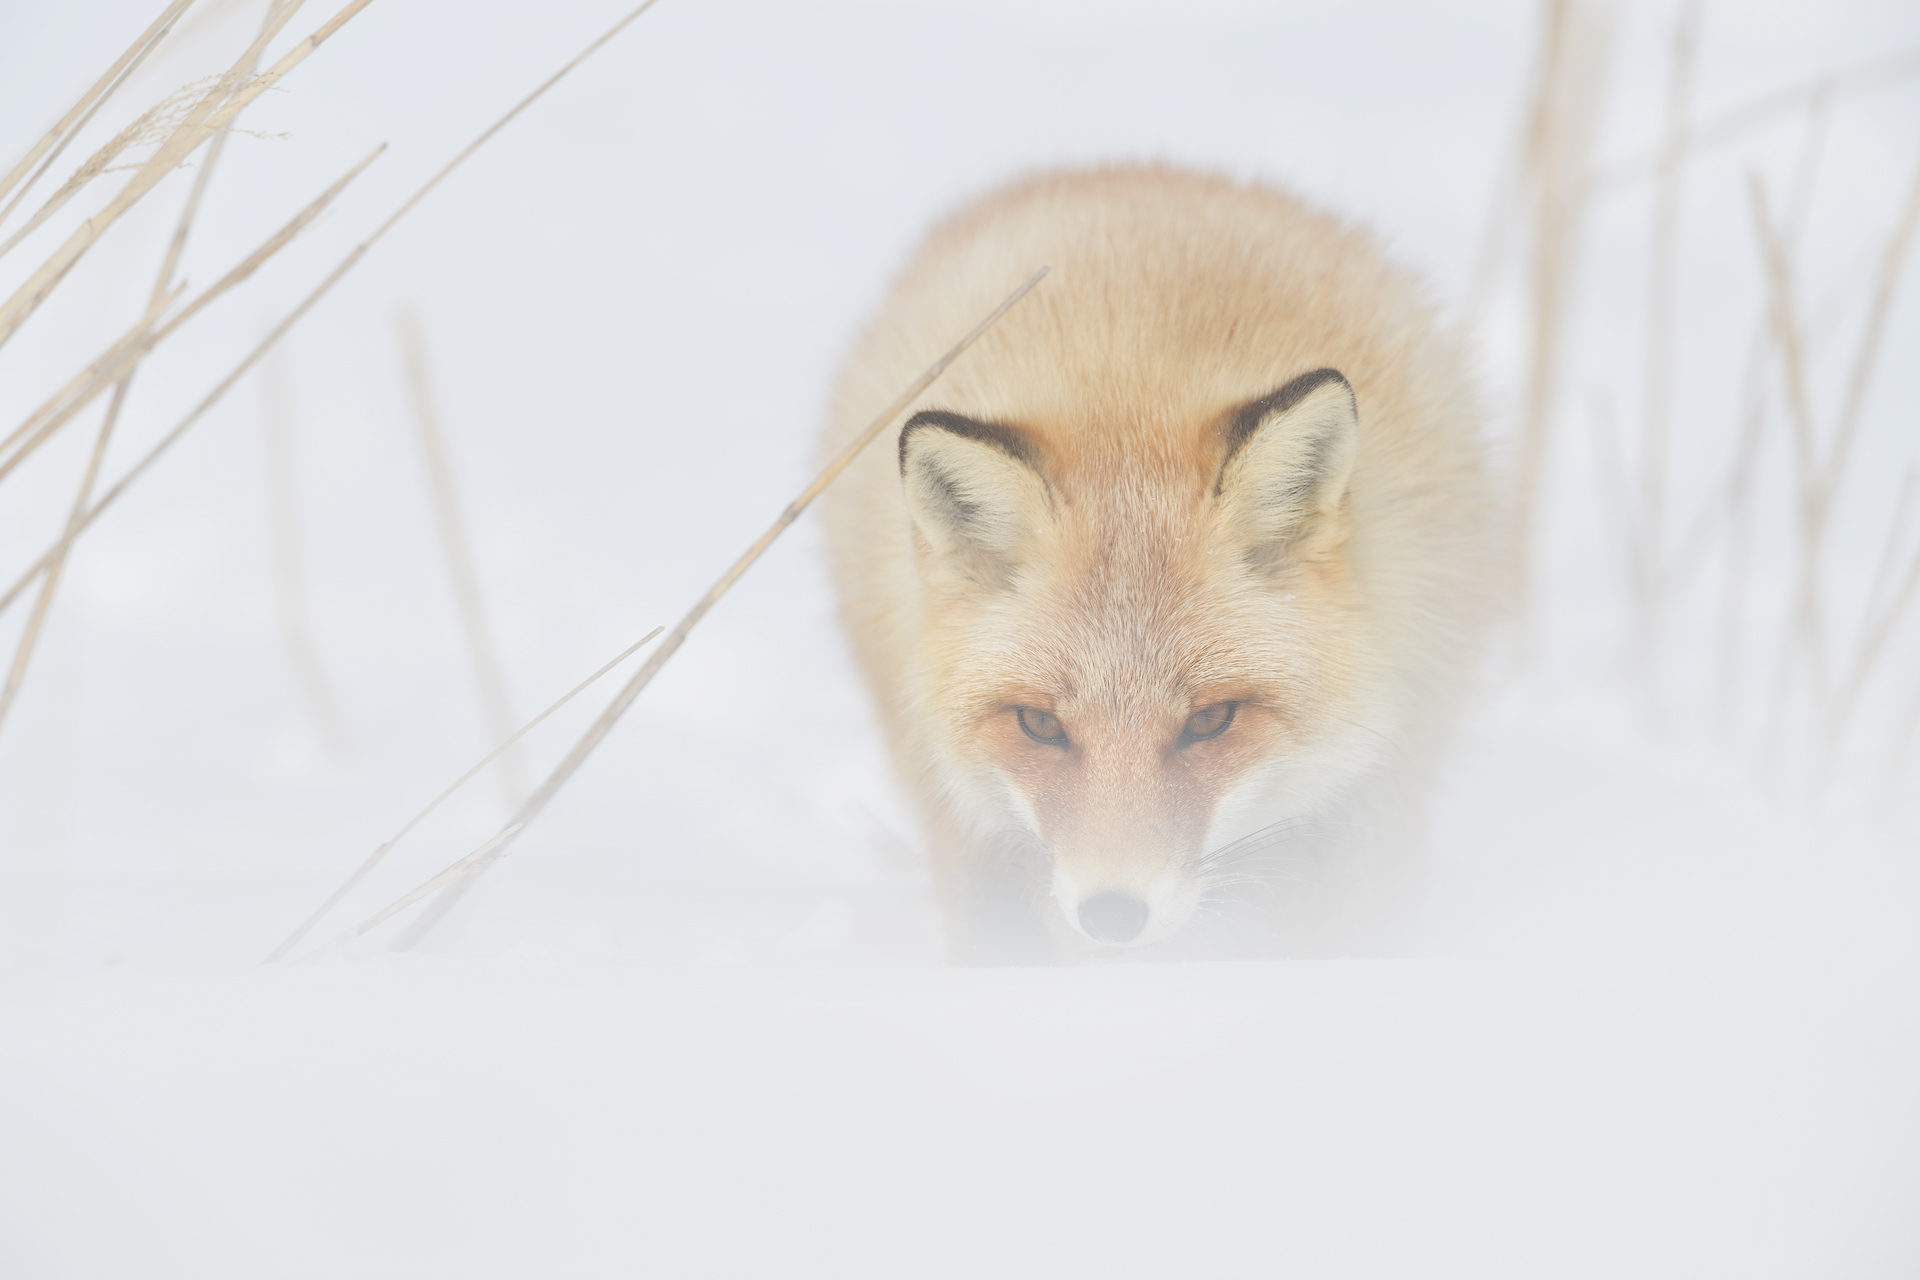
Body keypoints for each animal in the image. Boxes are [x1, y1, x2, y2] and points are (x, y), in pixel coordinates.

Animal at [819, 164, 1494, 963]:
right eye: (1039, 725)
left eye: (1212, 720)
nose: (1113, 916)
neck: (1131, 391)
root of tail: (1128, 170)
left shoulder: (1370, 808)